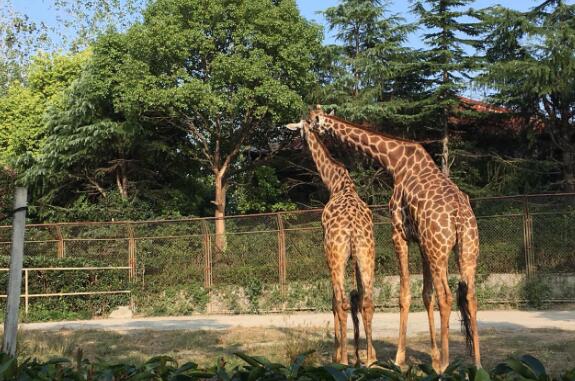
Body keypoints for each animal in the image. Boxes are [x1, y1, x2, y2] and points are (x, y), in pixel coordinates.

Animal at [286, 119, 378, 366]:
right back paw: (370, 360)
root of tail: (353, 230)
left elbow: (334, 300)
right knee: (366, 300)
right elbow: (357, 298)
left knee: (341, 301)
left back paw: (344, 360)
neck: (338, 184)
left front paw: (339, 353)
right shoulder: (356, 258)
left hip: (335, 255)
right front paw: (361, 355)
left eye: (298, 130)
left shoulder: (329, 253)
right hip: (367, 253)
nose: (295, 144)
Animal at [304, 106, 484, 372]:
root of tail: (459, 217)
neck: (395, 161)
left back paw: (445, 364)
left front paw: (400, 359)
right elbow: (426, 295)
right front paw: (431, 357)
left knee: (447, 296)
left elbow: (404, 295)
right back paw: (477, 364)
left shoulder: (399, 231)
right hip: (466, 249)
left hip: (439, 250)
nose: (307, 128)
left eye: (312, 120)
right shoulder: (421, 241)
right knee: (470, 296)